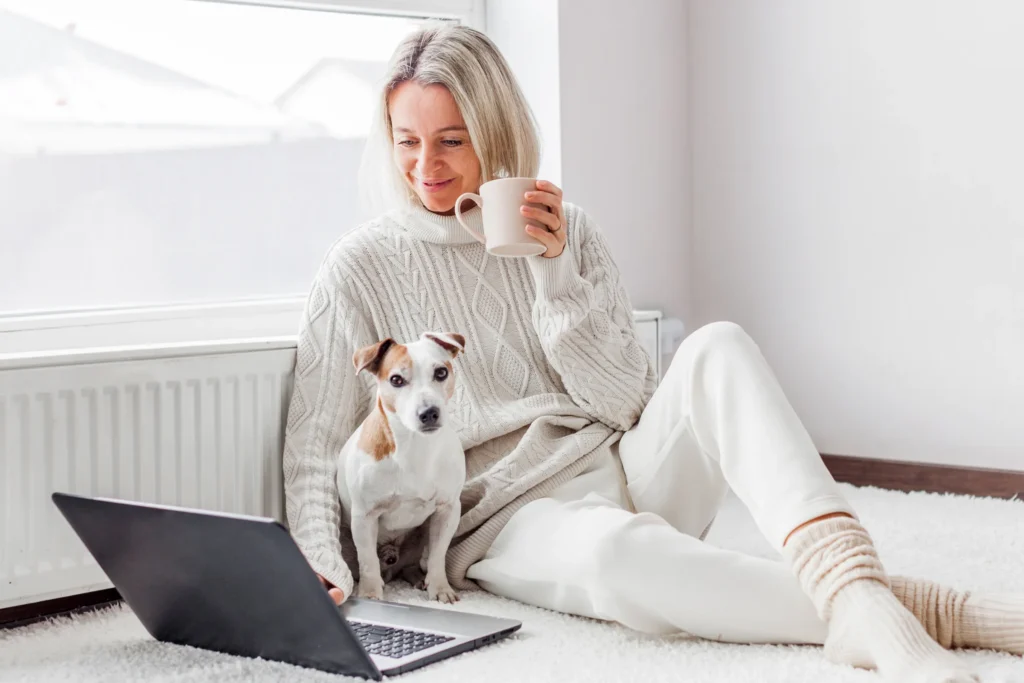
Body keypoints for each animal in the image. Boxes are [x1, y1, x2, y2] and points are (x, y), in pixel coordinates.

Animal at [335, 331, 468, 602]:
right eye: (396, 379)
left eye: (441, 372)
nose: (429, 412)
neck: (416, 446)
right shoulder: (365, 516)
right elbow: (368, 561)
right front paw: (370, 594)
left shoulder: (447, 511)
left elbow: (437, 556)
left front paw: (440, 589)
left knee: (411, 564)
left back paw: (418, 579)